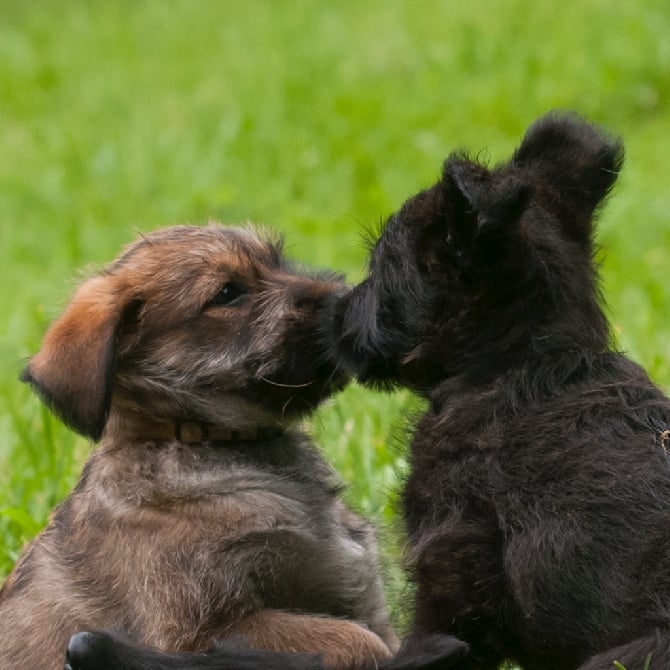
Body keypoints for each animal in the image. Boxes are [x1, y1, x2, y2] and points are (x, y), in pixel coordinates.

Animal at [1, 226, 400, 670]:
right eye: (227, 293)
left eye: (278, 262)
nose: (345, 299)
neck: (200, 439)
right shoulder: (198, 633)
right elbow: (359, 641)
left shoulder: (360, 590)